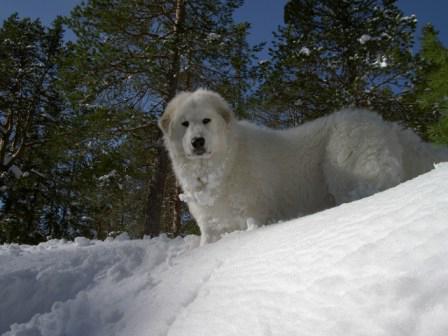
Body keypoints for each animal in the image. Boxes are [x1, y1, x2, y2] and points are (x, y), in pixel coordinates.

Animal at [159, 88, 446, 244]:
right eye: (185, 124)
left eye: (206, 120)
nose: (197, 142)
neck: (224, 162)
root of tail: (385, 125)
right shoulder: (209, 223)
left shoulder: (253, 212)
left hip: (346, 170)